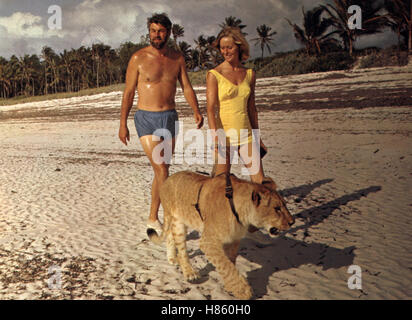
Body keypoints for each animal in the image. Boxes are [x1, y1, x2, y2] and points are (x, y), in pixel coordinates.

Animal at [146, 171, 294, 298]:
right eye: (277, 209)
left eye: (285, 205)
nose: (292, 222)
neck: (242, 214)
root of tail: (167, 180)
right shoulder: (208, 241)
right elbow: (226, 265)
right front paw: (243, 291)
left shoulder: (233, 240)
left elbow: (231, 262)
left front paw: (231, 287)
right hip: (178, 222)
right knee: (181, 249)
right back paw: (190, 273)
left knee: (170, 236)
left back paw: (171, 258)